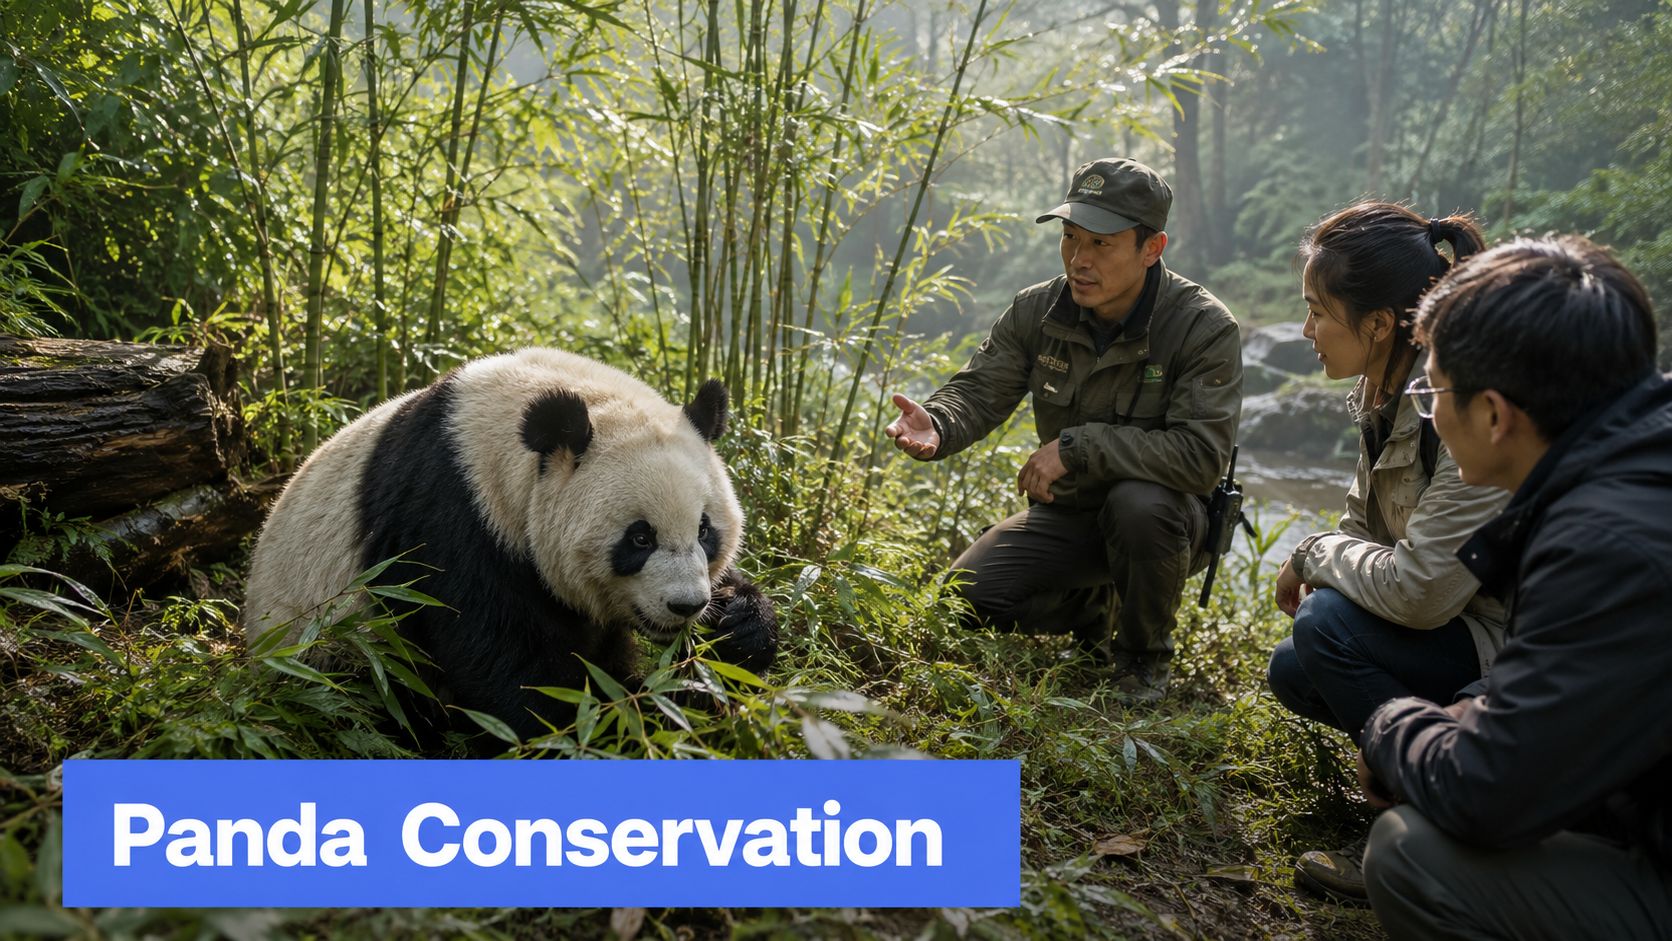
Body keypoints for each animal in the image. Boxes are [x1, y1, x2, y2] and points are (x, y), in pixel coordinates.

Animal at [242, 348, 778, 742]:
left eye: (705, 530)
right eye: (639, 537)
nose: (686, 605)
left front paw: (737, 629)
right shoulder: (452, 521)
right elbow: (511, 670)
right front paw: (630, 715)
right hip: (328, 644)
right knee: (365, 701)